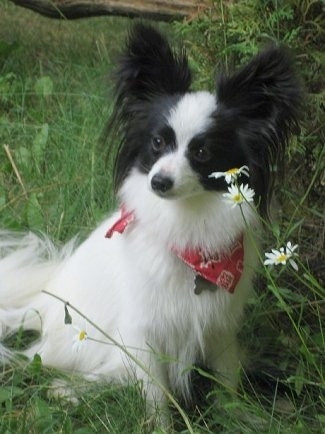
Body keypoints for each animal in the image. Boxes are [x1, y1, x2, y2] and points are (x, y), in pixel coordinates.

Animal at [0, 24, 300, 420]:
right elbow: (157, 395)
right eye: (157, 143)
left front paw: (238, 416)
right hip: (90, 342)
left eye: (202, 152)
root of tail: (44, 304)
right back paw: (69, 391)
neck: (188, 227)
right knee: (79, 367)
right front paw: (160, 424)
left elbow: (228, 381)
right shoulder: (144, 333)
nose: (159, 181)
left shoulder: (219, 328)